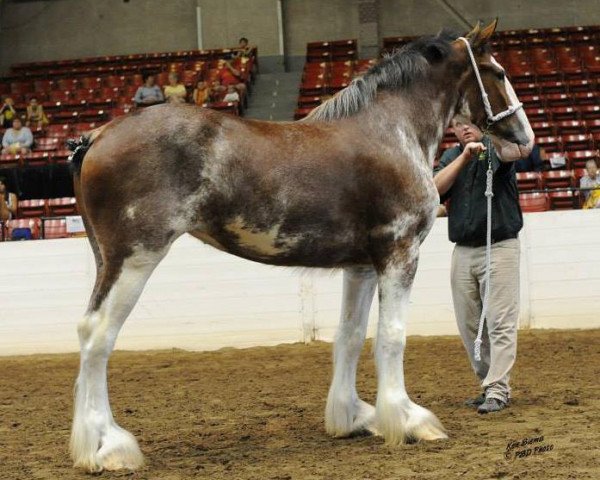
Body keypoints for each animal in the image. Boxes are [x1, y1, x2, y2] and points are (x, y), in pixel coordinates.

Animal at [68, 19, 532, 472]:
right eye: (499, 72)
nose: (525, 138)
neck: (390, 131)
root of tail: (97, 136)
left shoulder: (361, 266)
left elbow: (350, 335)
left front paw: (353, 417)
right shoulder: (399, 253)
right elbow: (392, 336)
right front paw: (408, 420)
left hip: (108, 260)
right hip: (134, 259)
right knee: (98, 336)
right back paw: (109, 447)